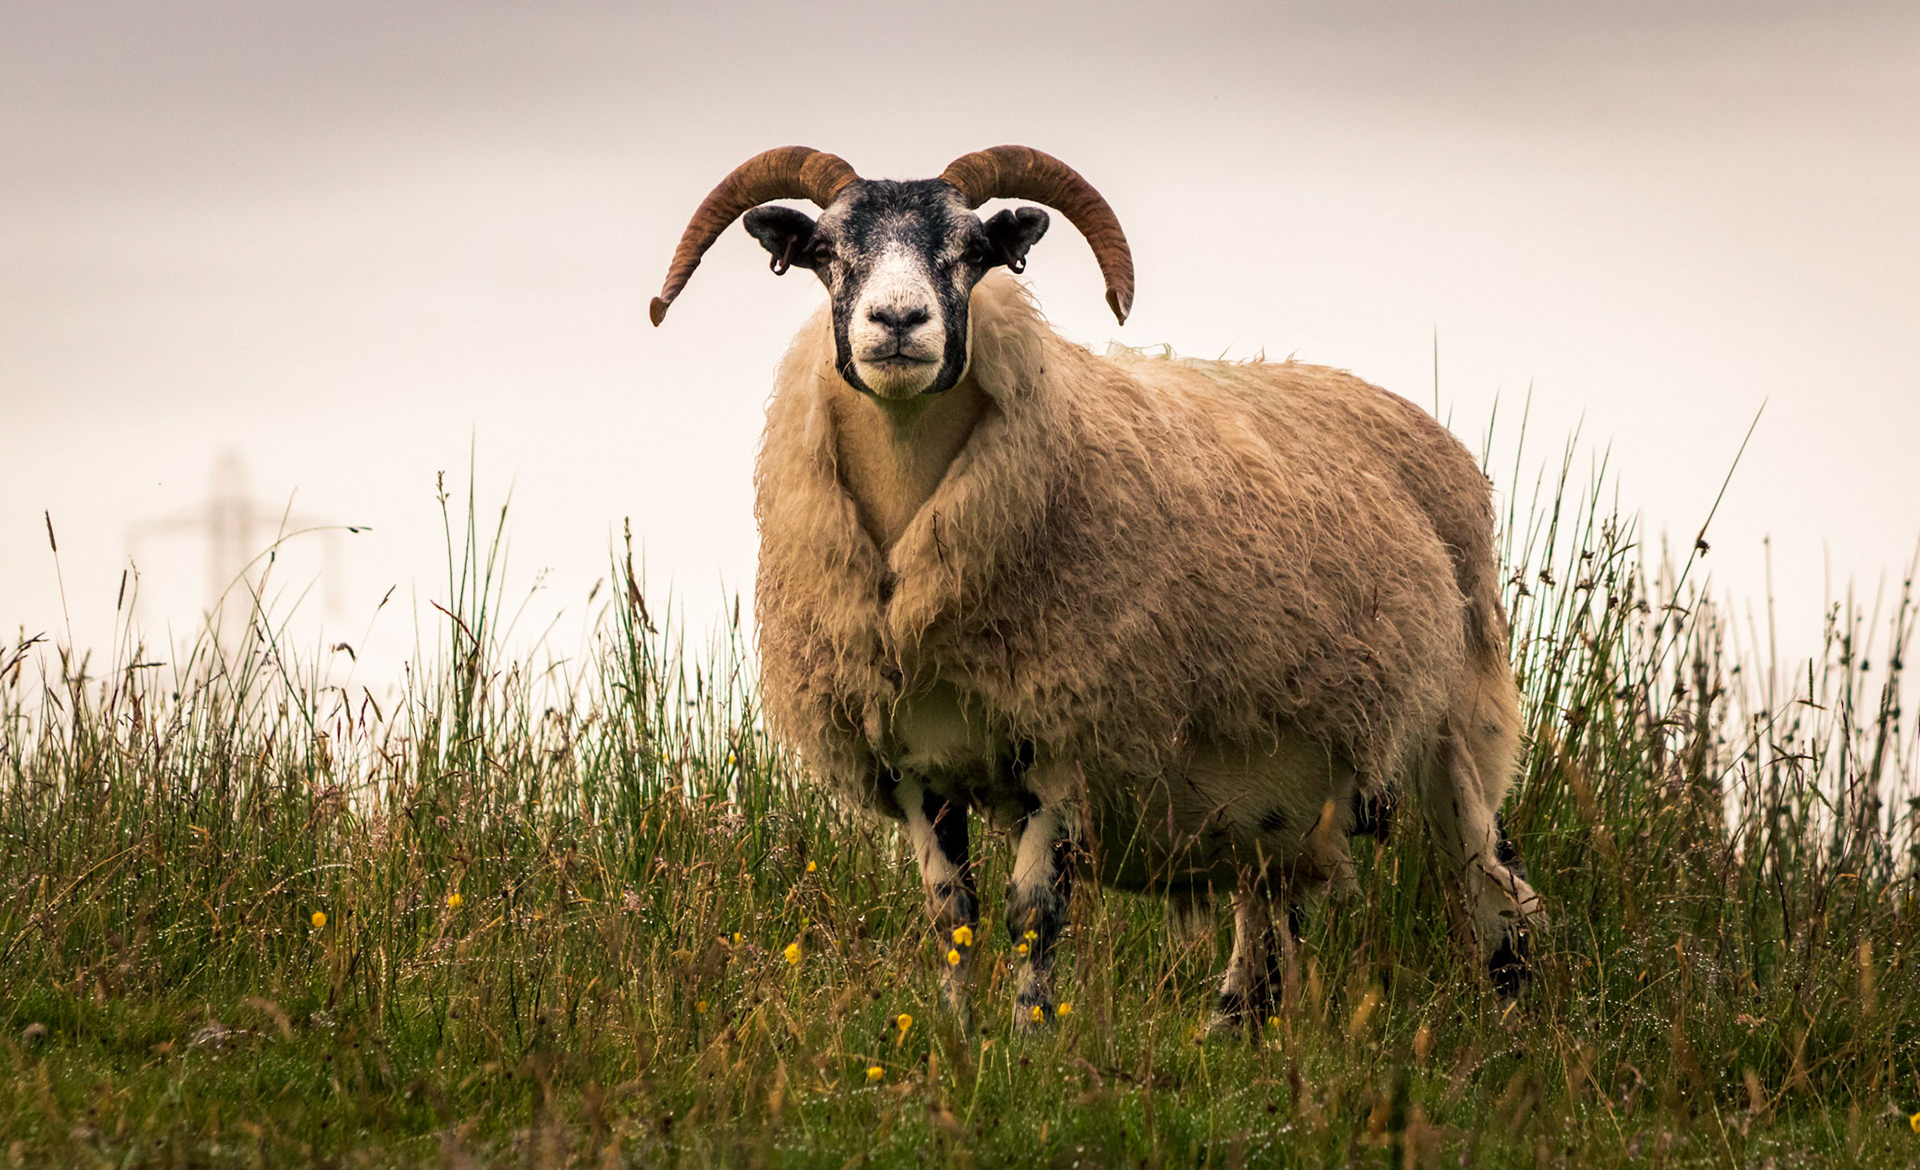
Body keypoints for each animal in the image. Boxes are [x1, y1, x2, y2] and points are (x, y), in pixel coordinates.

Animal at [650, 145, 1543, 1030]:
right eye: (827, 252)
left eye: (970, 251)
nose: (897, 323)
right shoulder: (916, 768)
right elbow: (951, 916)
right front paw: (953, 1041)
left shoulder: (1068, 743)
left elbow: (1033, 916)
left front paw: (1026, 1041)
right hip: (1280, 772)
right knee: (1267, 904)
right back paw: (1232, 1027)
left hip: (1457, 717)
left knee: (1497, 889)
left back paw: (1510, 1025)